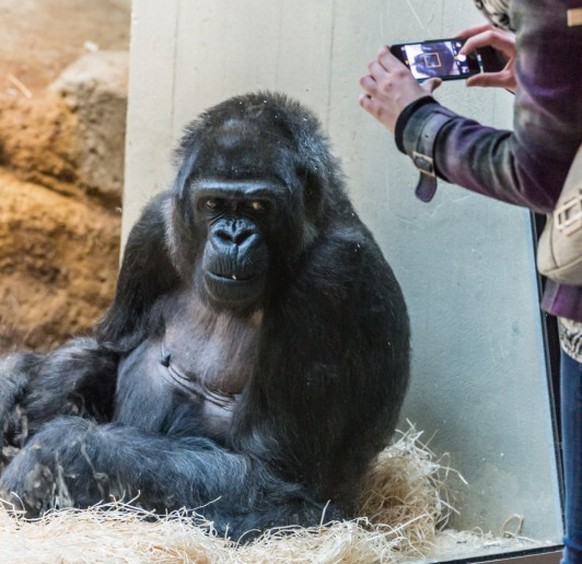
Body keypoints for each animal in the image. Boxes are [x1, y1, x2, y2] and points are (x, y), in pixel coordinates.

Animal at [0, 91, 410, 536]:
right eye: (213, 203)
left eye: (258, 206)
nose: (233, 235)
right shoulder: (154, 228)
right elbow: (107, 348)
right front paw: (11, 382)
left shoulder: (331, 275)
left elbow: (275, 473)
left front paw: (56, 454)